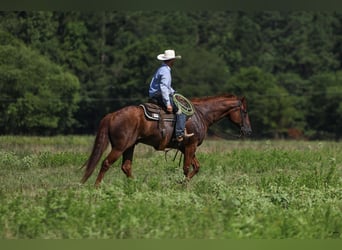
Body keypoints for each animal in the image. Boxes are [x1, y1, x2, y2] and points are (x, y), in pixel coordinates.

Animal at [80, 94, 251, 186]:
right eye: (244, 111)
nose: (248, 131)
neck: (202, 115)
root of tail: (112, 115)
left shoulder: (186, 147)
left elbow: (196, 167)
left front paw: (181, 184)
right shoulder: (191, 146)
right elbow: (187, 168)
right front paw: (183, 187)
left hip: (130, 146)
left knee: (126, 167)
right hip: (120, 146)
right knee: (106, 163)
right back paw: (96, 187)